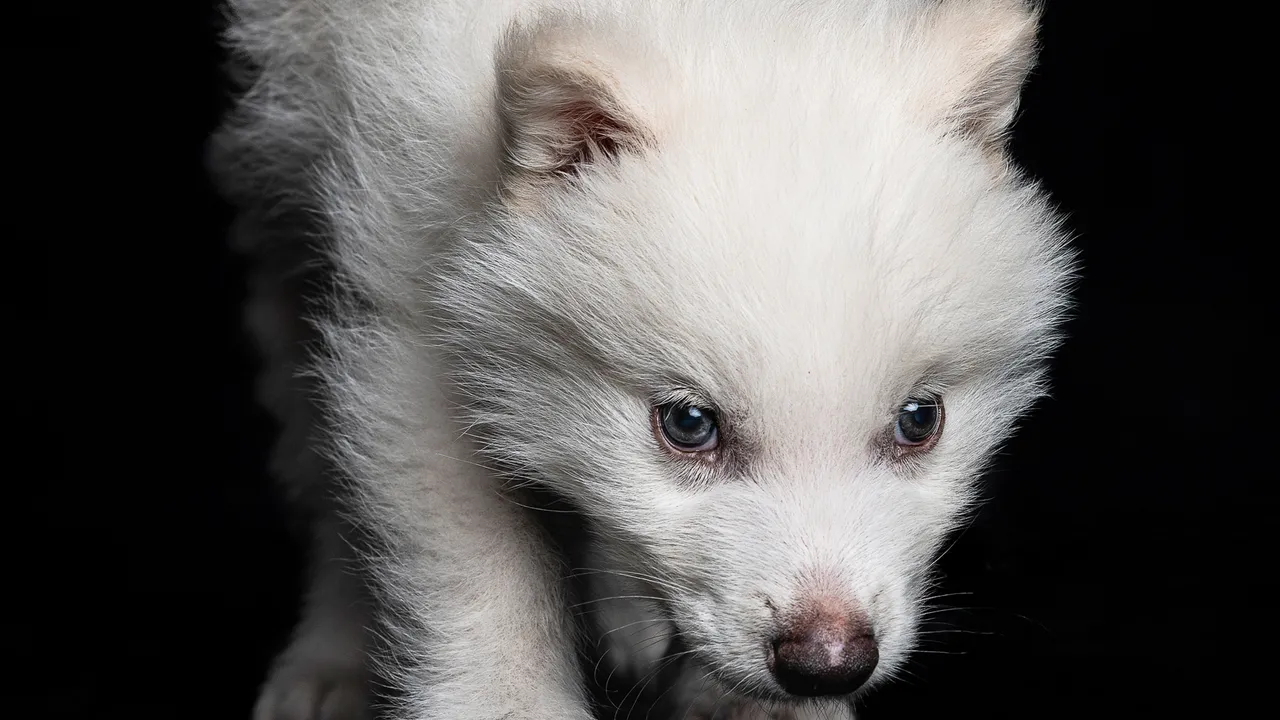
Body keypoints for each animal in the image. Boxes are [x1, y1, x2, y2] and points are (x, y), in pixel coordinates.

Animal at [210, 0, 1074, 718]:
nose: (827, 665)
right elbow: (476, 562)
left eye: (919, 421)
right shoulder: (408, 315)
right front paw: (507, 703)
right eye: (689, 424)